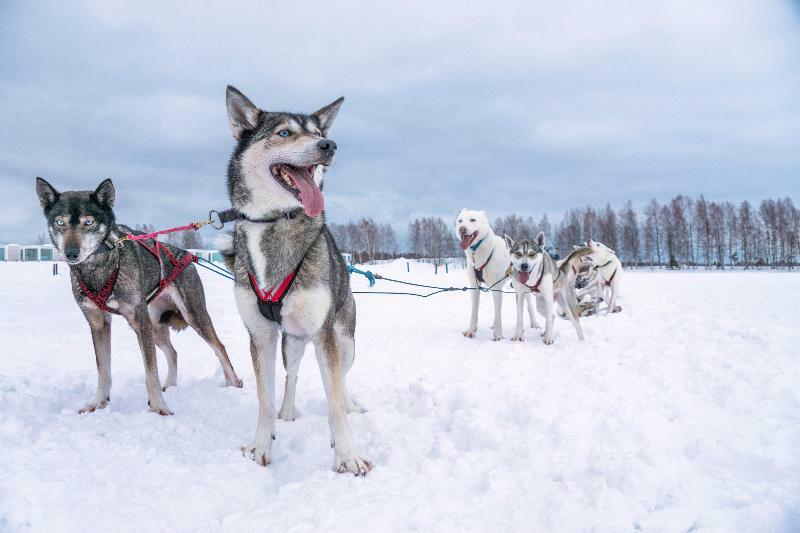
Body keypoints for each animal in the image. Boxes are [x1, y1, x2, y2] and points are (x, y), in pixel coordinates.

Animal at [454, 209, 516, 340]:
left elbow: (498, 313)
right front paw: (471, 331)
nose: (462, 228)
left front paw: (498, 335)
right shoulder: (475, 287)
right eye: (460, 221)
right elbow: (474, 312)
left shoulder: (497, 288)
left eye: (472, 220)